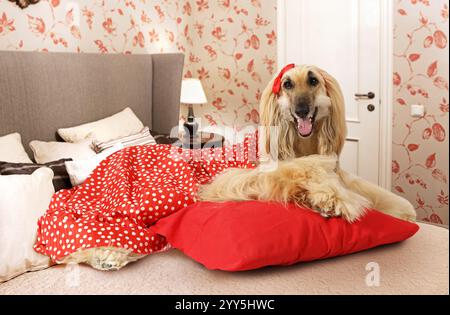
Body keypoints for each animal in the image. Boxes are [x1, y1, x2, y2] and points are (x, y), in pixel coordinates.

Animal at [200, 63, 418, 222]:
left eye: (313, 80)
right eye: (287, 84)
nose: (302, 111)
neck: (304, 144)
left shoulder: (340, 172)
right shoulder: (263, 173)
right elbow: (304, 168)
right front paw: (328, 198)